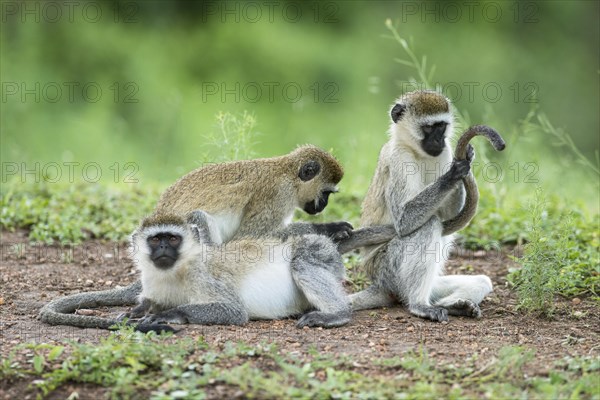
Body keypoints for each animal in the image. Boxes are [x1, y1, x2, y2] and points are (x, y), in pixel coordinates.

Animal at [354, 90, 504, 322]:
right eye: (428, 128)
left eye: (441, 126)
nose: (439, 139)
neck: (417, 152)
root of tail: (380, 284)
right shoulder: (399, 158)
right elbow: (404, 221)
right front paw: (453, 173)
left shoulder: (445, 152)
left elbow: (448, 212)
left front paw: (467, 160)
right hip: (387, 269)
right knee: (429, 225)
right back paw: (419, 305)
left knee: (482, 281)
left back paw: (455, 306)